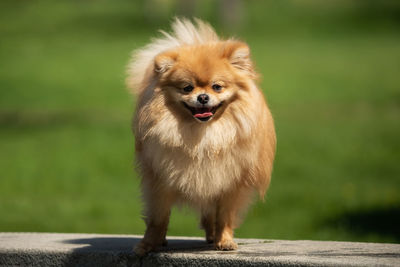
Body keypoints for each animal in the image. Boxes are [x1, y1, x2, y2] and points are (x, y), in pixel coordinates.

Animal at [126, 17, 276, 256]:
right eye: (187, 88)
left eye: (217, 87)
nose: (203, 97)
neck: (203, 135)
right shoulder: (159, 180)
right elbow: (157, 219)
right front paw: (148, 244)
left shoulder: (230, 182)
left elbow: (224, 216)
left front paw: (224, 240)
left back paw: (213, 236)